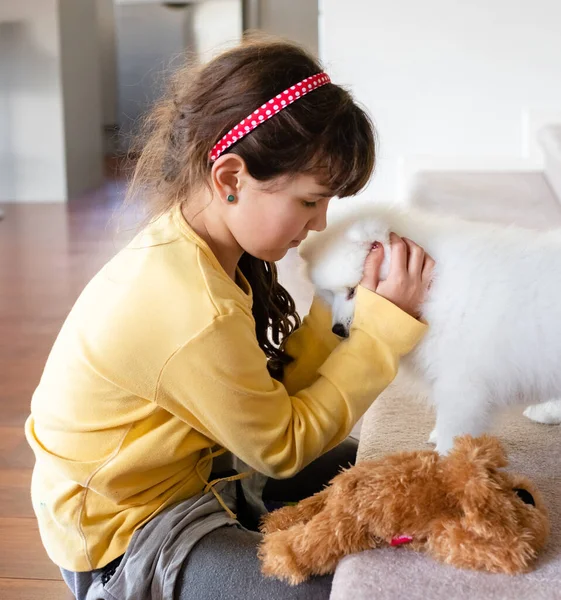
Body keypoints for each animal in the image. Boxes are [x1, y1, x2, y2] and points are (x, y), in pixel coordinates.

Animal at [300, 204, 560, 452]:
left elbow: (454, 428)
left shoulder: (463, 382)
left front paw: (446, 460)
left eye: (352, 290)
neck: (430, 289)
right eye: (329, 293)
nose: (337, 330)